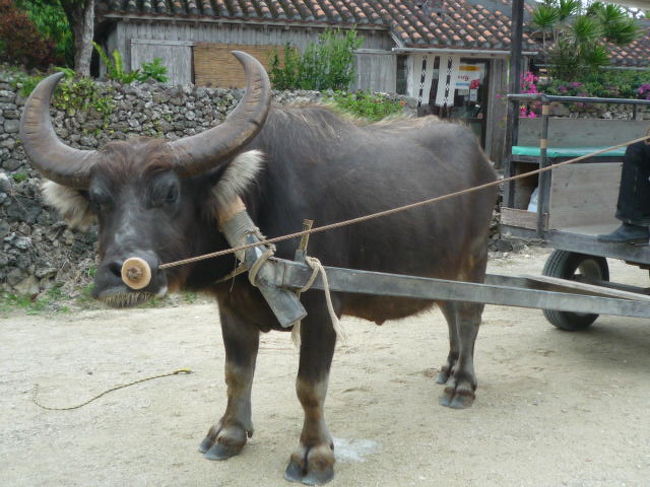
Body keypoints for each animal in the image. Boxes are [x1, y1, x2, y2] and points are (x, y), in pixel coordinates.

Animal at [20, 51, 496, 486]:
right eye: (100, 200)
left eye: (169, 192)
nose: (122, 271)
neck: (253, 211)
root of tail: (485, 162)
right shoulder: (231, 308)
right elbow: (236, 374)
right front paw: (229, 434)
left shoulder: (320, 309)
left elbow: (309, 387)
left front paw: (314, 455)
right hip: (440, 270)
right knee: (450, 312)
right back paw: (448, 369)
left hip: (474, 260)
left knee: (470, 316)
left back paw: (462, 385)